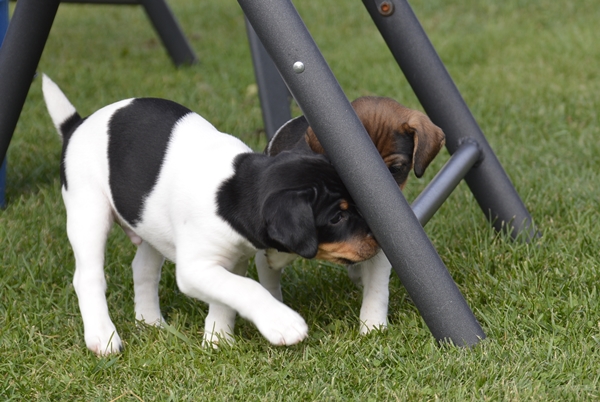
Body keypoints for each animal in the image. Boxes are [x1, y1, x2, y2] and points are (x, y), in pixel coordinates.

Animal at [42, 75, 378, 354]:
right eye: (337, 218)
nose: (378, 240)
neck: (236, 191)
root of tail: (77, 125)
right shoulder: (195, 268)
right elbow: (248, 289)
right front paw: (280, 323)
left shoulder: (232, 261)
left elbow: (226, 295)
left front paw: (218, 338)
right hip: (89, 212)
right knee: (87, 277)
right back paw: (103, 336)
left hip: (149, 223)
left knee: (143, 269)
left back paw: (150, 321)